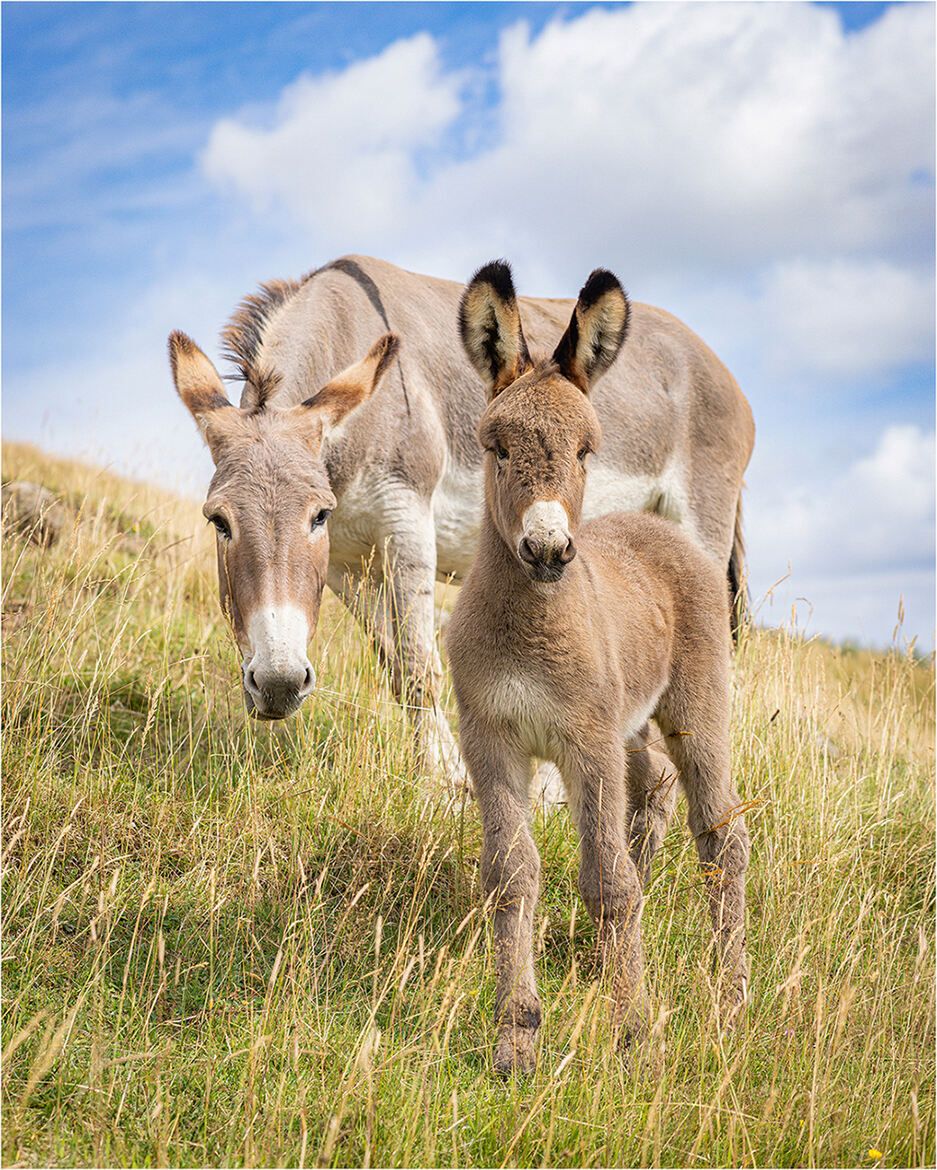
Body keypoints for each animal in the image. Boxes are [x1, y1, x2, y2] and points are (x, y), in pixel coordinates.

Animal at [446, 265, 753, 1076]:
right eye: (496, 448)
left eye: (586, 451)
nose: (549, 550)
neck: (532, 629)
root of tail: (657, 528)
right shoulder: (492, 739)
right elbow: (511, 875)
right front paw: (517, 1039)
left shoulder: (585, 744)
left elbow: (608, 882)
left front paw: (636, 1041)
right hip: (632, 730)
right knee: (654, 797)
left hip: (695, 712)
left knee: (720, 837)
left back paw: (732, 1004)